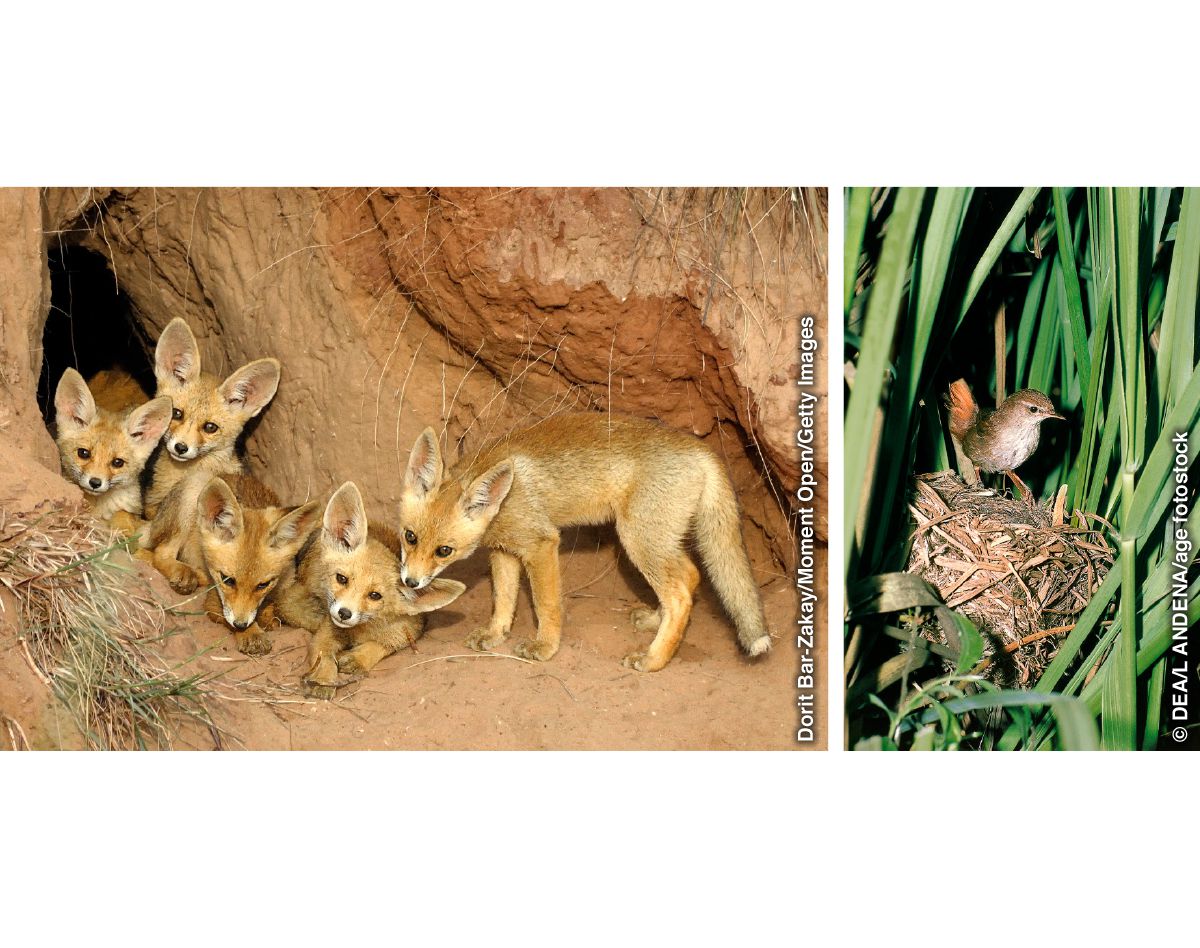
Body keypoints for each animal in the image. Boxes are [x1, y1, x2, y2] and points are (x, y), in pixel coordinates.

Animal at [160, 474, 320, 655]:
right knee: (158, 553)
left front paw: (265, 618)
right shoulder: (214, 600)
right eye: (227, 580)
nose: (241, 624)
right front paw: (251, 634)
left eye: (263, 585)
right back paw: (184, 573)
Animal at [276, 482, 466, 699]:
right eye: (341, 579)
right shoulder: (325, 633)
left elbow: (385, 644)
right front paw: (323, 679)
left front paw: (358, 658)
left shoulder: (411, 626)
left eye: (375, 595)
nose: (344, 613)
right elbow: (323, 656)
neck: (358, 631)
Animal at [397, 412, 774, 672]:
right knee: (691, 575)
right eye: (409, 536)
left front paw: (545, 647)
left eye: (444, 551)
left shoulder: (541, 544)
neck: (504, 500)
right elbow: (502, 601)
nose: (410, 582)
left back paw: (654, 660)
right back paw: (655, 621)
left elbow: (547, 605)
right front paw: (495, 634)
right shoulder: (504, 550)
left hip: (637, 539)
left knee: (680, 592)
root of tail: (702, 449)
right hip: (659, 541)